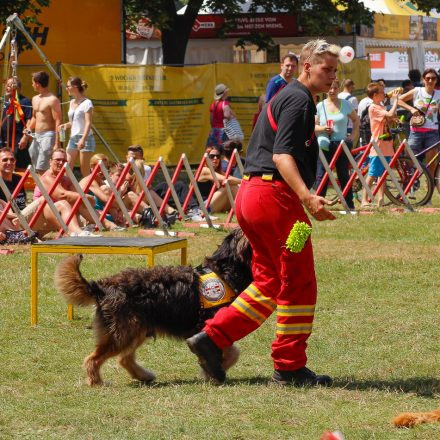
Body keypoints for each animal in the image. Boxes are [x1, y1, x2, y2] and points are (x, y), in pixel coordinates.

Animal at [55, 229, 253, 386]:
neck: (224, 271)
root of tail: (102, 287)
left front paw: (210, 370)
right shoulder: (211, 324)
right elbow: (232, 353)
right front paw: (213, 371)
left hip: (135, 331)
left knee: (124, 358)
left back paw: (144, 376)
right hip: (122, 334)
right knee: (93, 359)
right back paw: (96, 382)